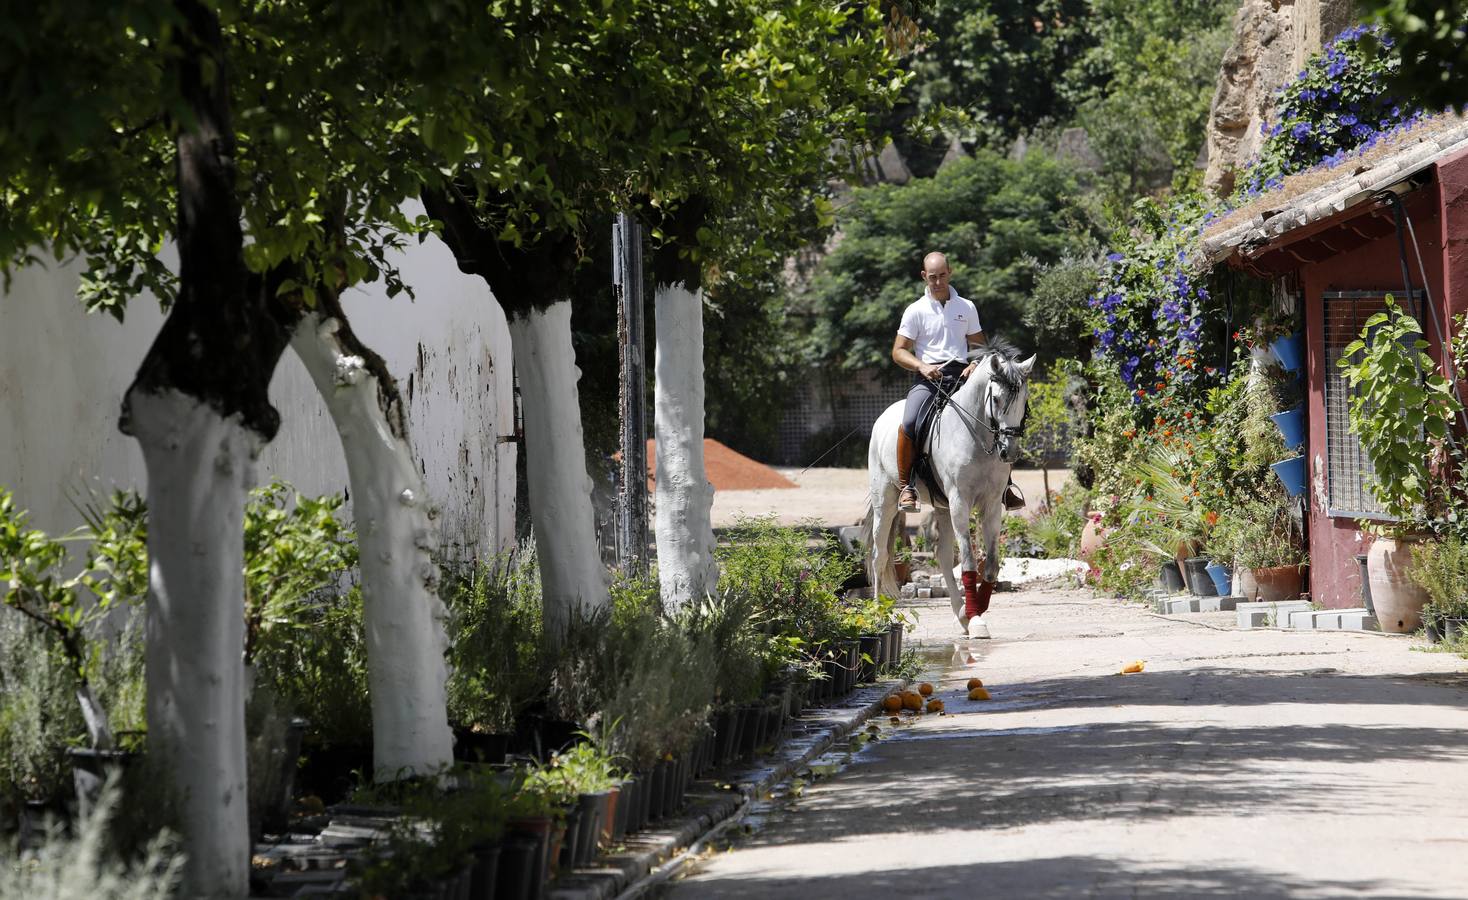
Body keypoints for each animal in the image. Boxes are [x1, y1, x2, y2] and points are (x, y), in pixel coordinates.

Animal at [863, 343, 1039, 640]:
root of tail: (884, 416)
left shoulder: (991, 505)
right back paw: (876, 614)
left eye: (1024, 400)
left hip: (942, 507)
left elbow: (991, 564)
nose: (1010, 452)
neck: (977, 437)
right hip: (885, 502)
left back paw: (961, 613)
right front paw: (977, 619)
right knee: (879, 556)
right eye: (996, 400)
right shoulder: (960, 502)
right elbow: (968, 561)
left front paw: (976, 610)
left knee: (943, 557)